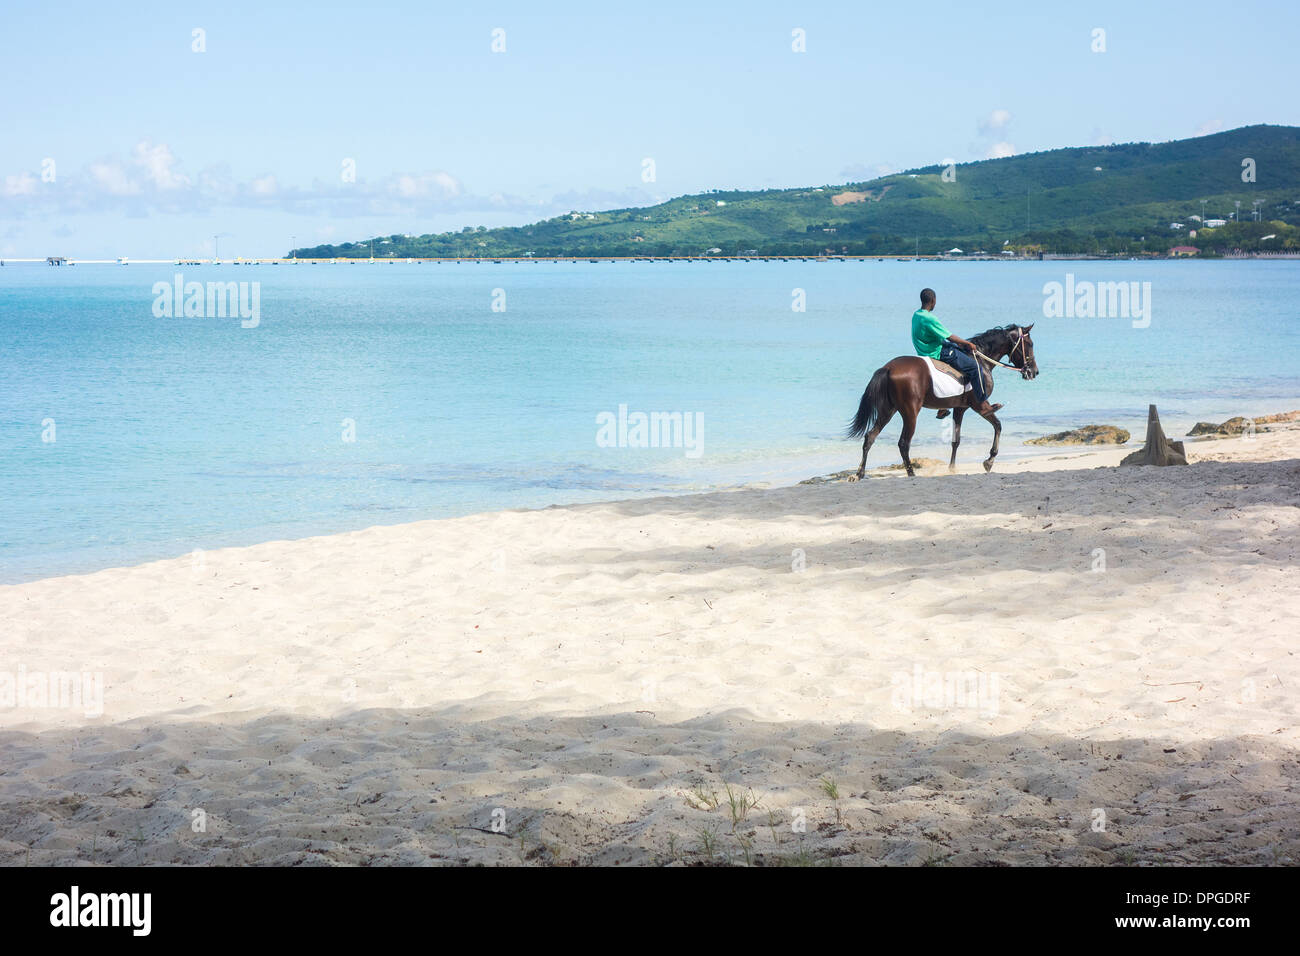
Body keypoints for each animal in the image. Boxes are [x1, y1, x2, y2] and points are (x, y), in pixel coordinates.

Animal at [847, 325, 1040, 478]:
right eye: (1030, 344)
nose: (1034, 371)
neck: (981, 361)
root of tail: (888, 368)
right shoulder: (979, 406)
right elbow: (998, 425)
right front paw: (989, 461)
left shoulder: (960, 408)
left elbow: (956, 440)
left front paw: (952, 468)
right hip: (910, 413)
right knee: (903, 443)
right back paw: (911, 473)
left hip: (888, 410)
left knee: (870, 436)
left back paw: (860, 473)